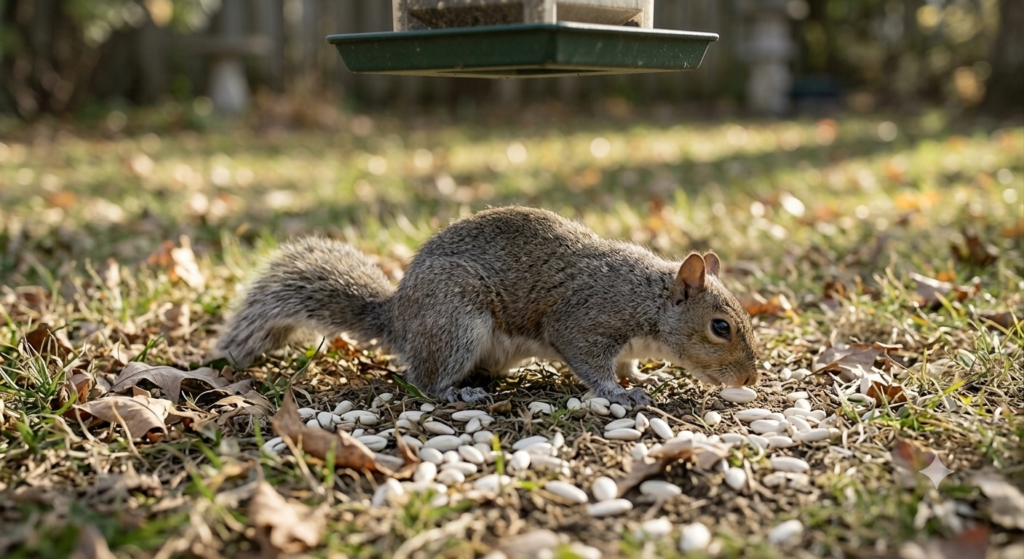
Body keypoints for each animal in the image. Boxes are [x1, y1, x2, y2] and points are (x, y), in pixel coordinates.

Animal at [215, 206, 759, 406]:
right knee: (424, 379)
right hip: (456, 322)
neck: (647, 297)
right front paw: (620, 394)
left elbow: (628, 362)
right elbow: (590, 361)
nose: (750, 378)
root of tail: (399, 318)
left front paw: (644, 377)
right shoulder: (585, 319)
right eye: (721, 327)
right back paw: (457, 393)